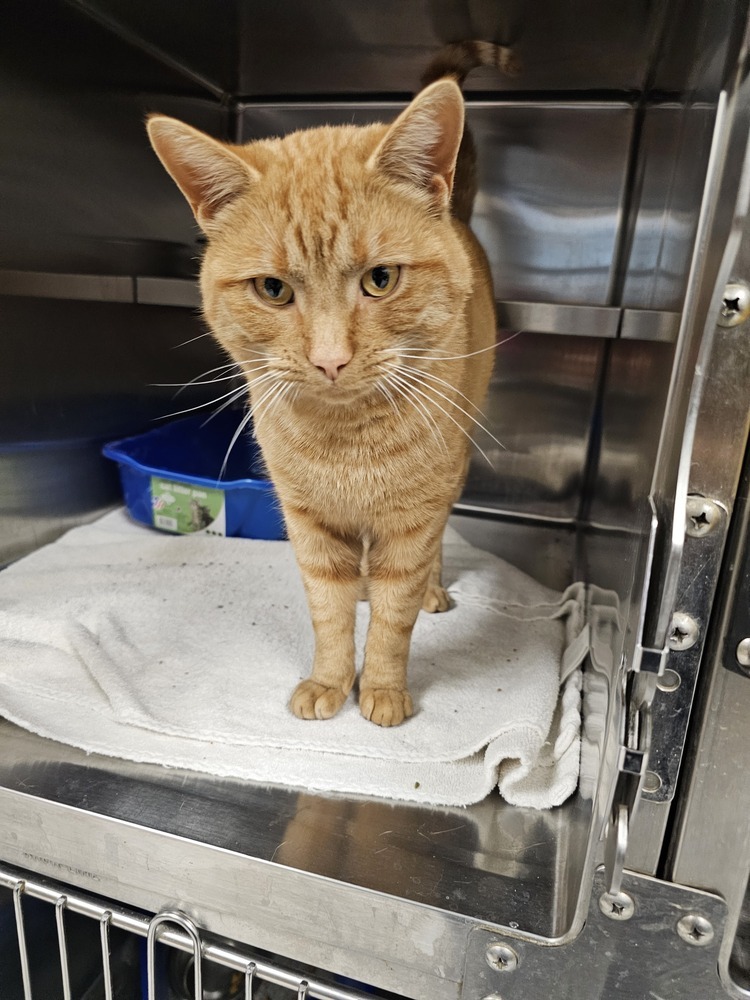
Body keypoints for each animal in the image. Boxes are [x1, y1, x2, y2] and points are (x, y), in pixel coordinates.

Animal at [147, 58, 500, 728]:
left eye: (380, 279)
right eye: (273, 289)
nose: (329, 360)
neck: (347, 440)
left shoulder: (414, 520)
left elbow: (393, 616)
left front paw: (383, 691)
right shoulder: (308, 522)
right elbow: (330, 613)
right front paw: (330, 682)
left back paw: (432, 589)